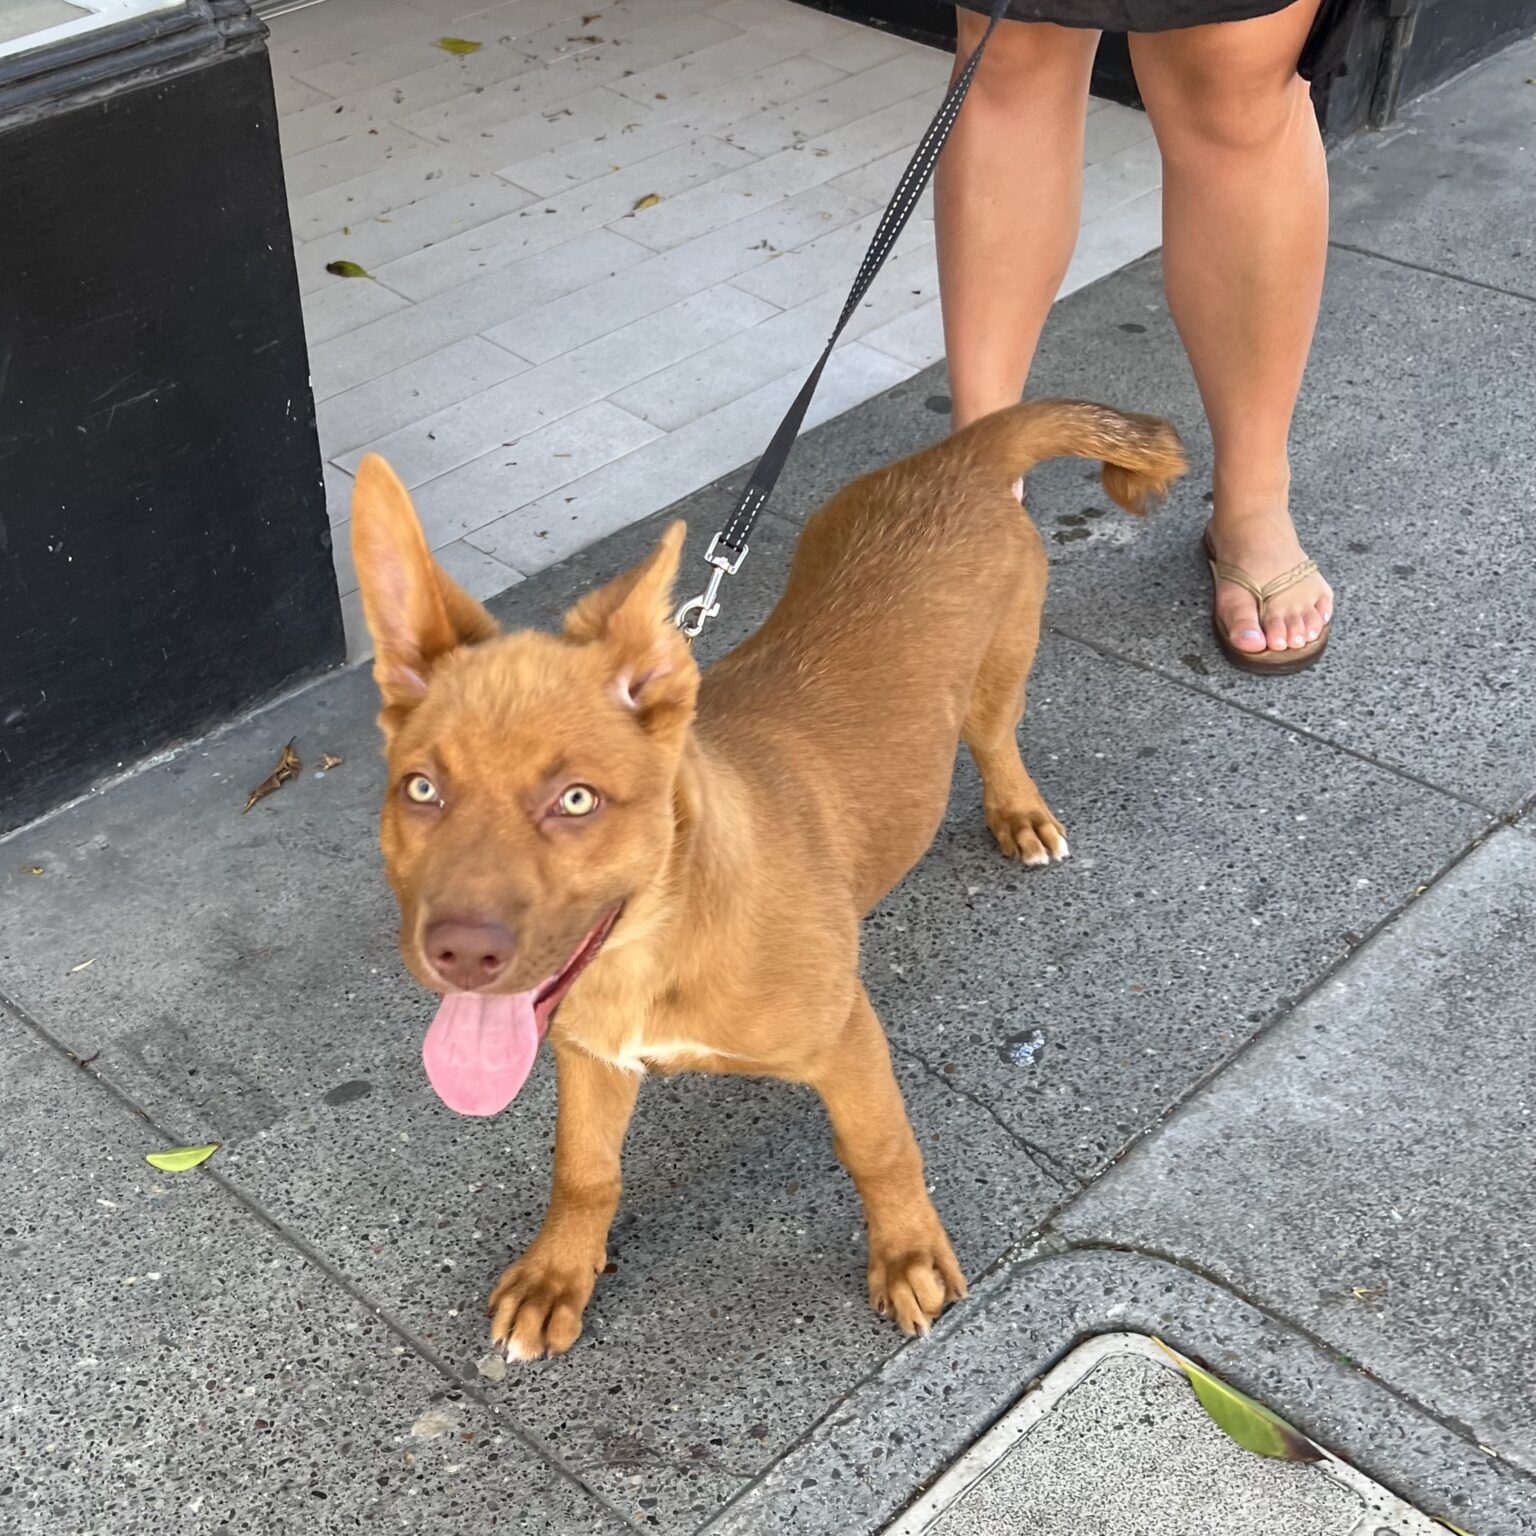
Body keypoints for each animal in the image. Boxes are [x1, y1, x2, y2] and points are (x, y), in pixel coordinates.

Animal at [353, 402, 1179, 1363]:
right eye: (420, 789)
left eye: (576, 799)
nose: (459, 955)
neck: (657, 941)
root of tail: (959, 459)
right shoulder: (588, 1054)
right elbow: (584, 1171)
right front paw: (559, 1272)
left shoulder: (847, 1037)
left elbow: (879, 1148)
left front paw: (907, 1255)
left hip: (1000, 668)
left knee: (995, 734)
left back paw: (1018, 812)